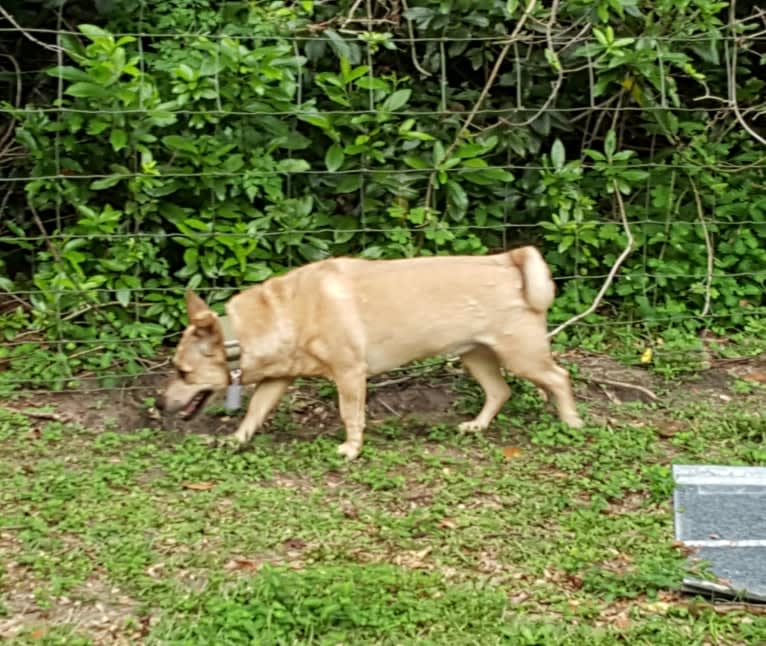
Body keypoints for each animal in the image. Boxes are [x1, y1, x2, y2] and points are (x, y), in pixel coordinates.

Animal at [159, 247, 584, 460]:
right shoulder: (277, 380)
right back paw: (478, 426)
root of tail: (507, 260)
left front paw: (351, 448)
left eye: (182, 372)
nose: (158, 404)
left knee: (559, 378)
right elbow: (254, 413)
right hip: (475, 356)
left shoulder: (349, 374)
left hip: (520, 357)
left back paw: (572, 422)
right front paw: (235, 440)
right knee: (500, 391)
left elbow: (351, 414)